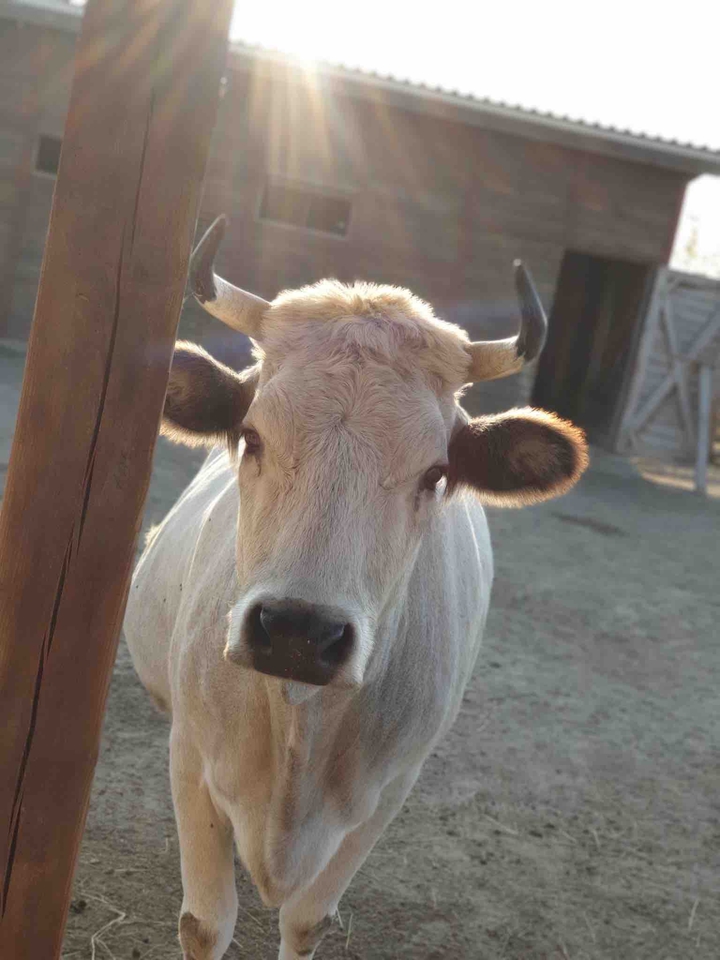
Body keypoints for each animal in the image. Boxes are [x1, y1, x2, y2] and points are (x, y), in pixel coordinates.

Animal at [124, 216, 588, 960]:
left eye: (435, 473)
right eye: (251, 435)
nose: (297, 631)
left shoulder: (388, 794)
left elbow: (307, 921)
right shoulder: (192, 761)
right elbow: (205, 921)